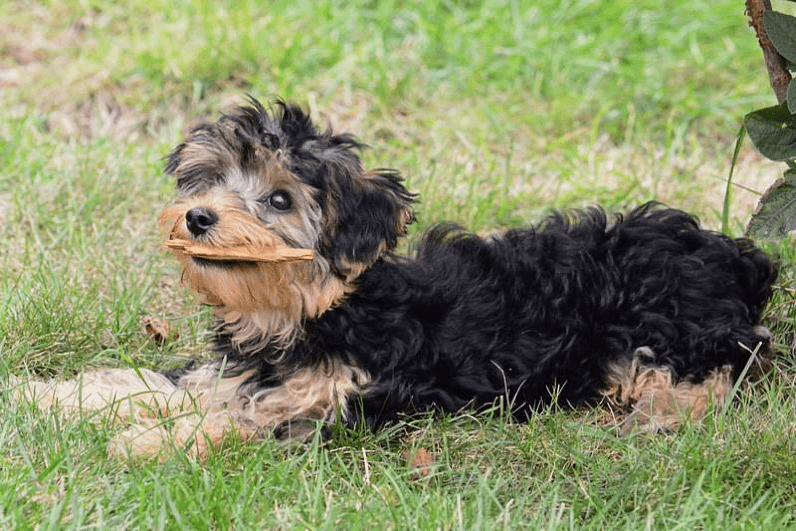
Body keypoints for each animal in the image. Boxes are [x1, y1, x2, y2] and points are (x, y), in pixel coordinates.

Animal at [17, 98, 776, 458]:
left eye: (280, 200)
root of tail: (727, 254)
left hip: (657, 328)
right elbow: (158, 381)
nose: (197, 216)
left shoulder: (335, 401)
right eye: (209, 179)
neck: (311, 311)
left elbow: (245, 420)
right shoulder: (230, 370)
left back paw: (651, 419)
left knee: (715, 373)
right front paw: (50, 395)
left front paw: (150, 441)